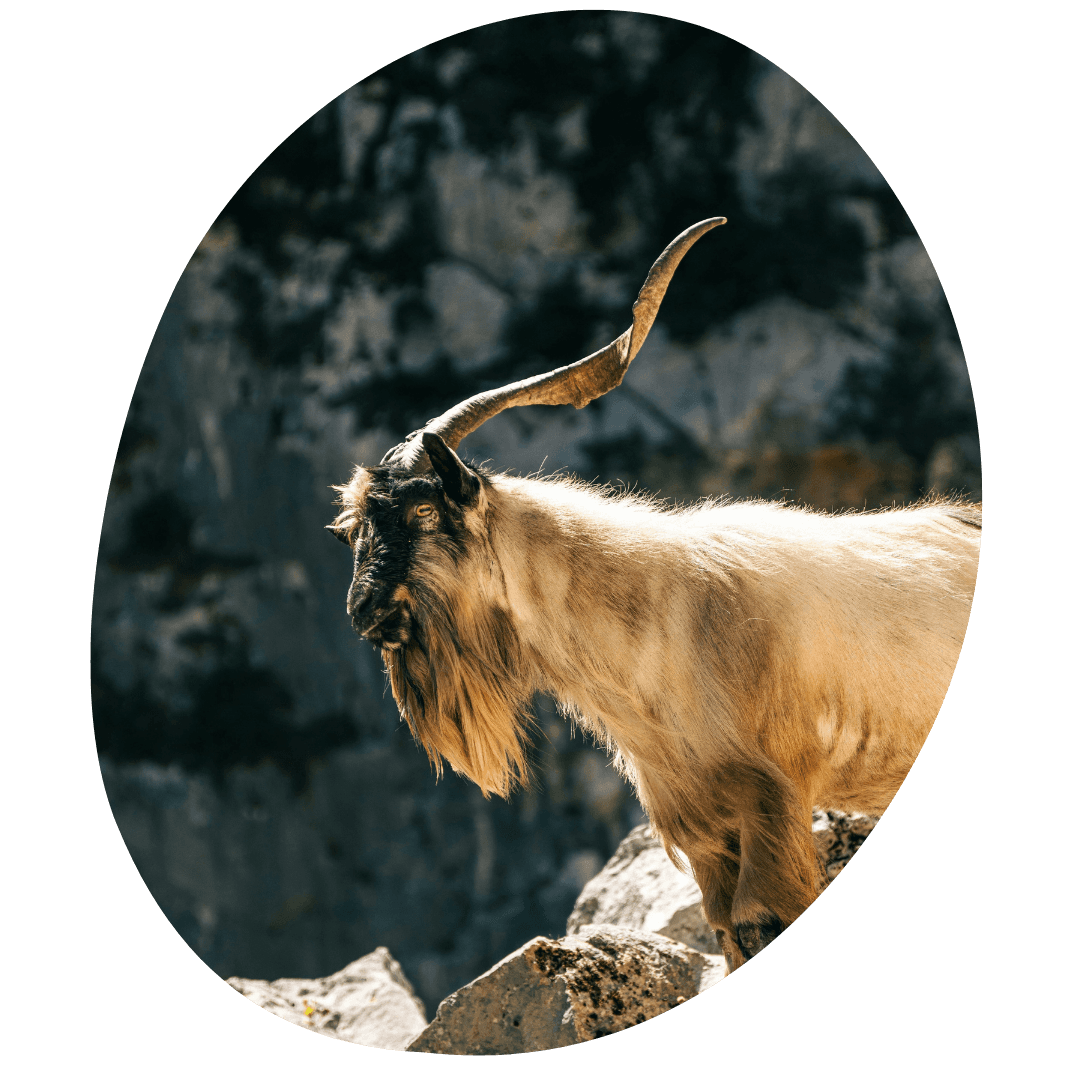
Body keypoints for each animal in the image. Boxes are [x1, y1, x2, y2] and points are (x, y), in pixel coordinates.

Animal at [328, 219, 981, 971]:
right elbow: (730, 931)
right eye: (353, 529)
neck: (665, 619)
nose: (363, 613)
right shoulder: (703, 830)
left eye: (424, 513)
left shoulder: (774, 804)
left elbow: (765, 920)